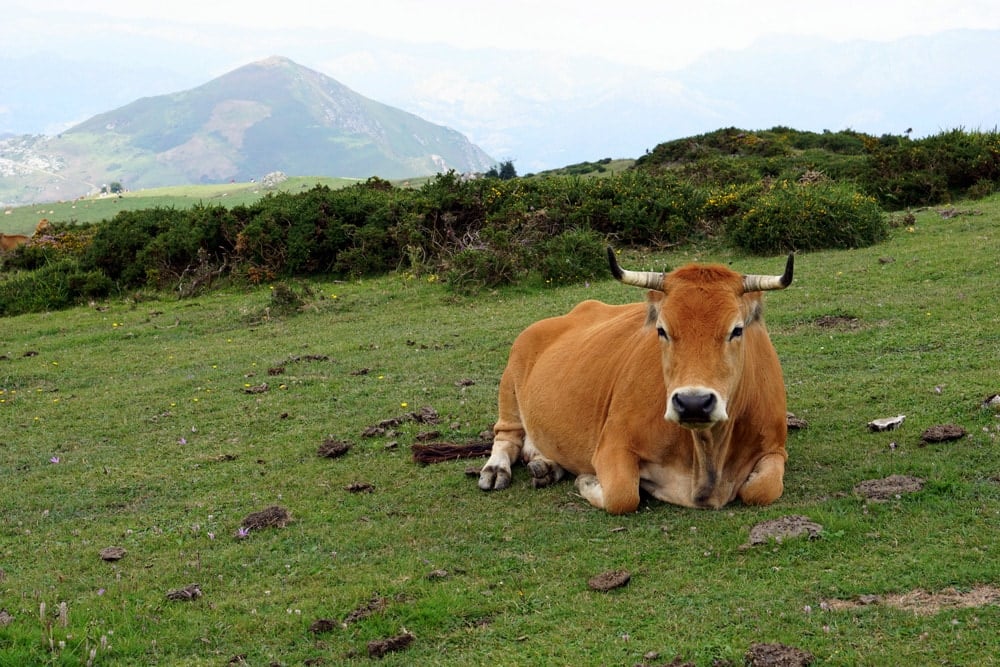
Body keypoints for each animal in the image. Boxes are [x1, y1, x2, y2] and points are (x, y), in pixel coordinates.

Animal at [480, 248, 792, 516]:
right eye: (662, 330)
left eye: (737, 330)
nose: (693, 403)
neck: (706, 454)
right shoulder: (613, 444)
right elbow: (622, 495)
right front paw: (586, 480)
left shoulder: (775, 447)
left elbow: (762, 489)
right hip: (510, 382)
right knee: (506, 436)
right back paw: (496, 470)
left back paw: (545, 466)